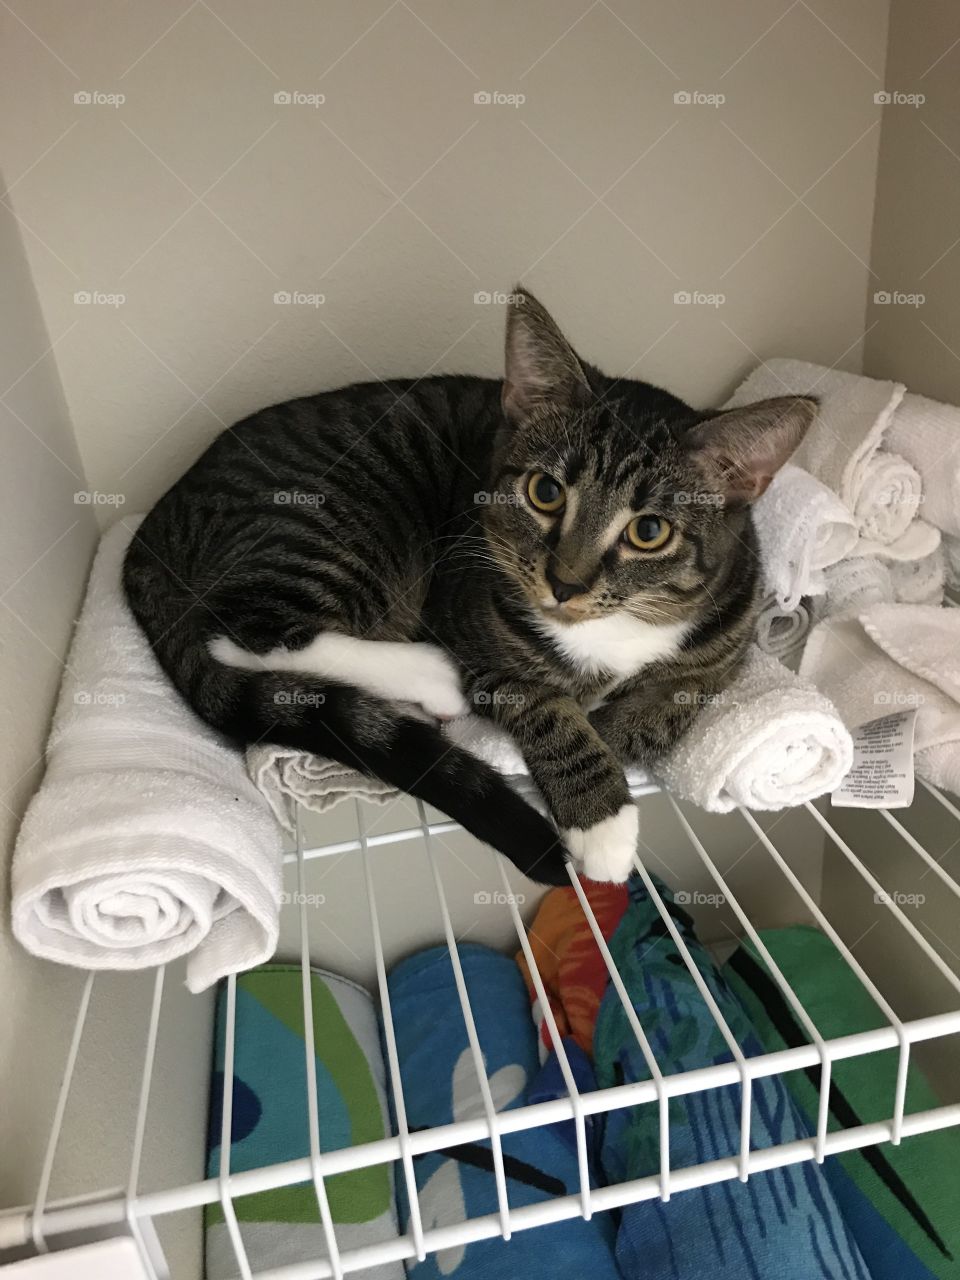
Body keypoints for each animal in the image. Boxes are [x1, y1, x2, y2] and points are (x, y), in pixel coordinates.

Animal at [124, 290, 814, 885]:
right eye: (545, 492)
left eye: (649, 531)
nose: (564, 582)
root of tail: (153, 527)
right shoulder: (478, 634)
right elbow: (547, 710)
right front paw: (602, 818)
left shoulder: (722, 649)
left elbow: (662, 713)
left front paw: (614, 745)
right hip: (327, 522)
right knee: (241, 630)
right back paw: (428, 676)